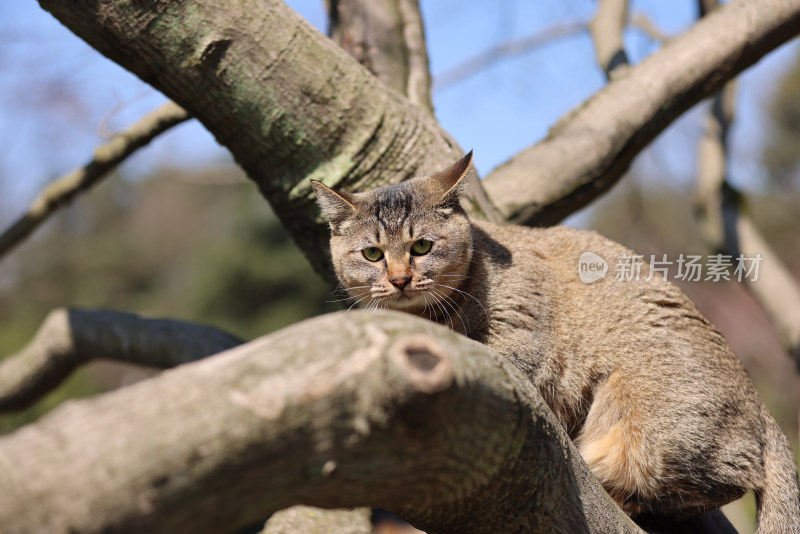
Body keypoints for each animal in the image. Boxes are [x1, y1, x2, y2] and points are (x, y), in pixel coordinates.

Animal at [310, 151, 800, 532]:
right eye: (372, 254)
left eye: (422, 247)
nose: (399, 279)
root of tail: (761, 408)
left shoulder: (522, 336)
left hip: (645, 422)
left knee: (725, 478)